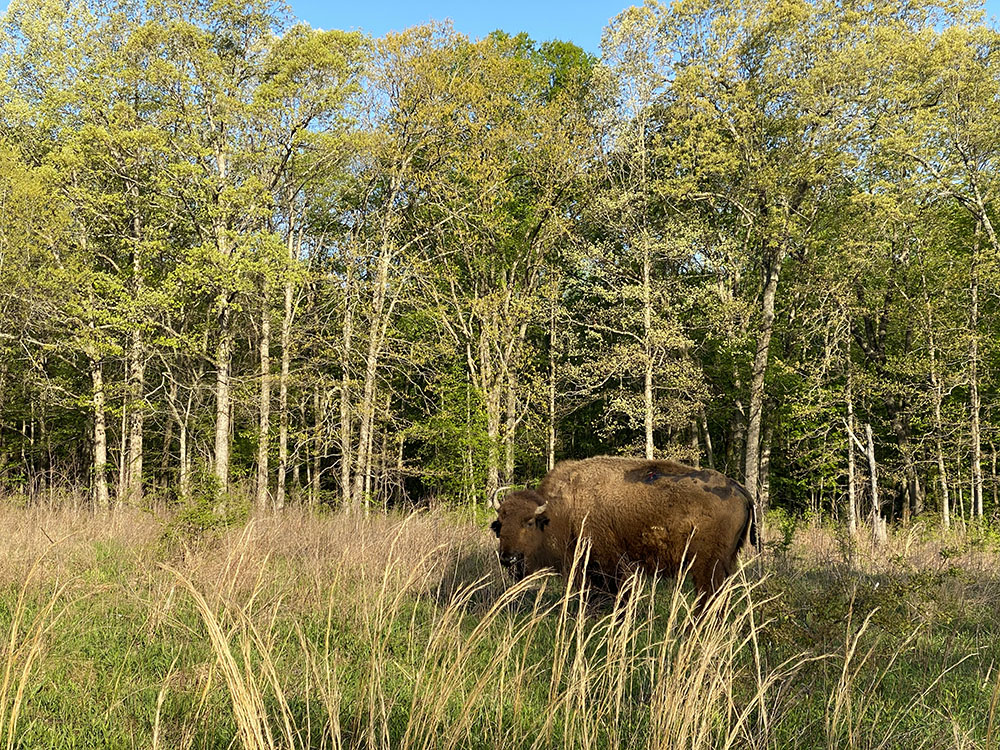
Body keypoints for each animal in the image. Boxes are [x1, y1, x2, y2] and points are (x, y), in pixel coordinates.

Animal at [492, 458, 756, 612]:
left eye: (528, 522)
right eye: (500, 525)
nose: (508, 558)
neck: (562, 510)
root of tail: (740, 489)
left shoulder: (609, 566)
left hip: (707, 566)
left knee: (709, 595)